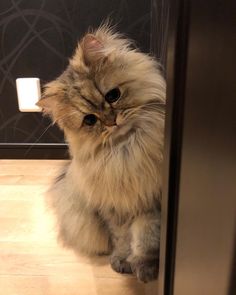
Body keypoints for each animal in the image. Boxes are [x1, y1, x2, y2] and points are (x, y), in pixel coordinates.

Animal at [37, 24, 166, 284]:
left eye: (112, 95)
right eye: (90, 120)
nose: (111, 122)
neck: (127, 151)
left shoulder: (150, 202)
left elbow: (147, 237)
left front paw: (145, 268)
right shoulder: (115, 208)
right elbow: (123, 239)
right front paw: (122, 261)